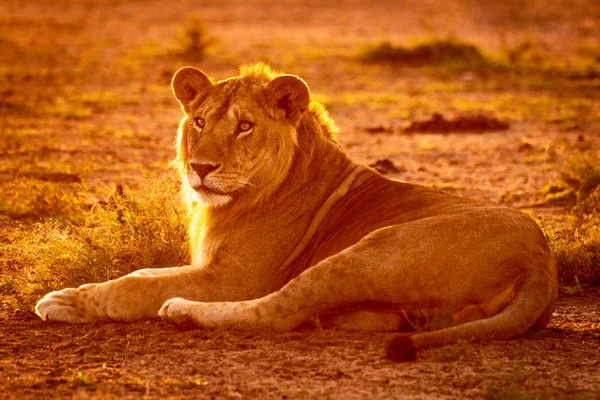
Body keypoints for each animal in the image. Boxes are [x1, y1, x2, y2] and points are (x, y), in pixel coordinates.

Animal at [34, 61, 556, 360]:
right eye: (199, 121)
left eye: (244, 126)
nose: (200, 168)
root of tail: (541, 262)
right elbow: (143, 273)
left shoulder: (234, 279)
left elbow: (134, 287)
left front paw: (66, 301)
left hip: (374, 250)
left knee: (279, 312)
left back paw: (182, 311)